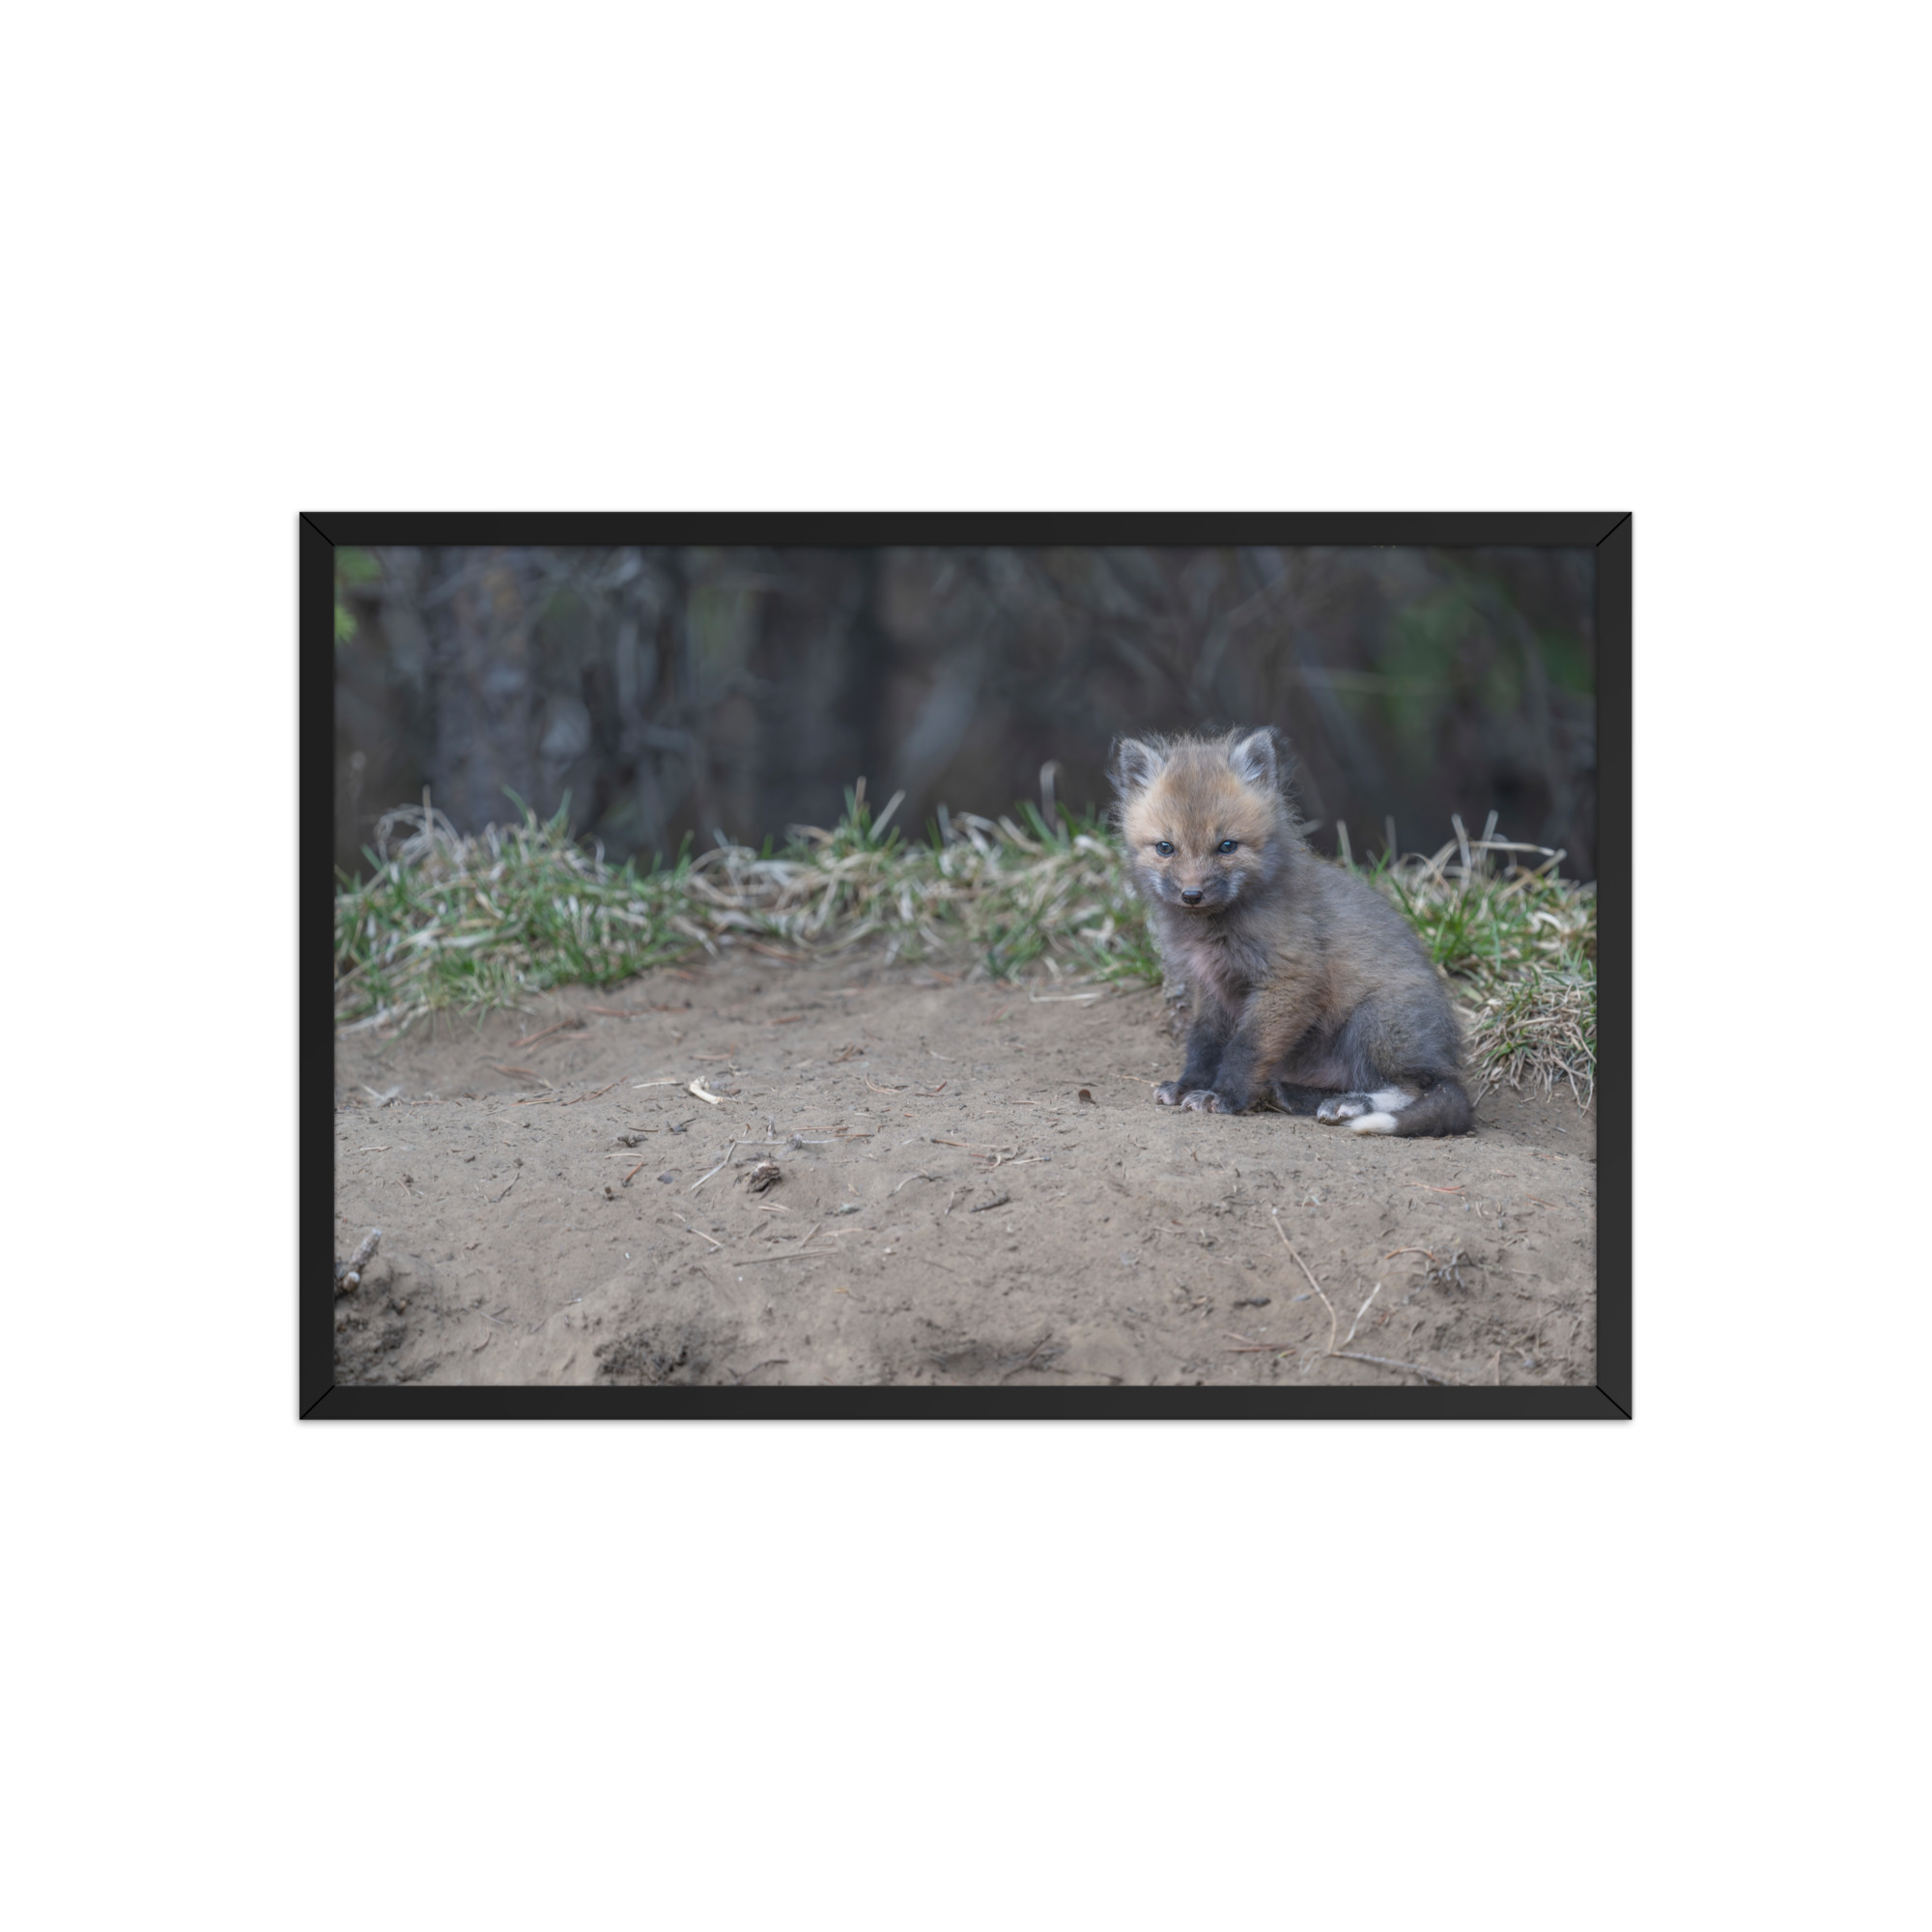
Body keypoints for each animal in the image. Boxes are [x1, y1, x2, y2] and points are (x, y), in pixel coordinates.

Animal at [1110, 726, 1473, 1137]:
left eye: (1227, 846)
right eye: (1165, 848)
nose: (1192, 895)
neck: (1214, 930)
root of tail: (1448, 1061)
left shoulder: (1290, 979)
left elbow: (1246, 1048)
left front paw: (1224, 1097)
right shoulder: (1212, 986)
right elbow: (1204, 1043)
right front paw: (1189, 1085)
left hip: (1374, 1022)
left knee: (1415, 1088)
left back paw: (1350, 1105)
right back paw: (1294, 1095)